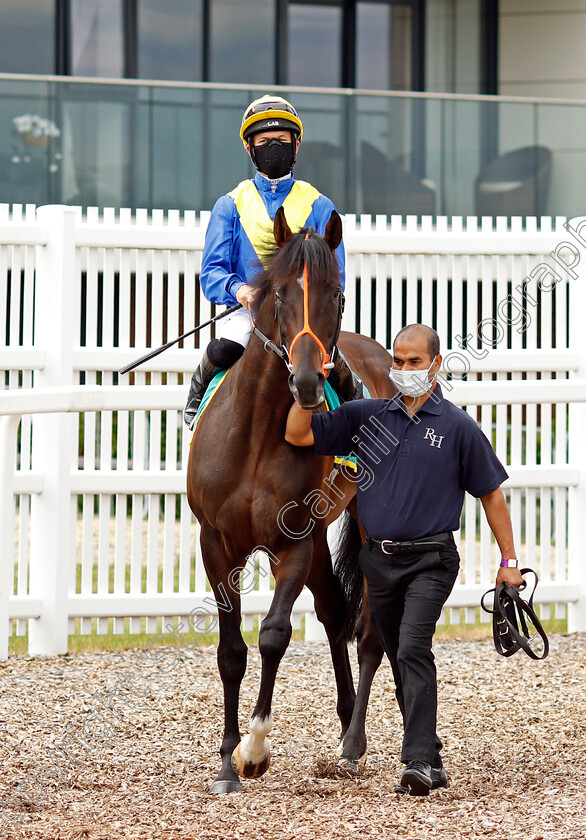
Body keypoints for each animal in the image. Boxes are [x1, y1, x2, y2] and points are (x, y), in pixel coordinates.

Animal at [186, 207, 396, 792]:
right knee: (332, 609)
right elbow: (231, 651)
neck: (256, 436)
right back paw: (345, 724)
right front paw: (226, 761)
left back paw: (353, 744)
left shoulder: (294, 541)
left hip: (363, 523)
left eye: (337, 293)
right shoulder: (216, 542)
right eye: (279, 293)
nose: (307, 381)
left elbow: (275, 634)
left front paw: (254, 750)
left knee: (366, 632)